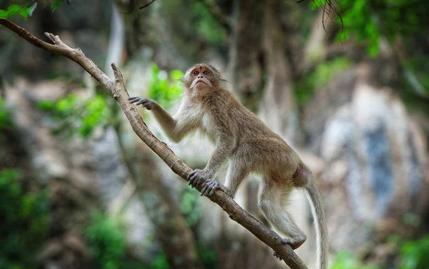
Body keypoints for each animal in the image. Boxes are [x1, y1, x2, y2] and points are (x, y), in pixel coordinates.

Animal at [129, 63, 326, 268]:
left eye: (206, 72)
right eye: (195, 72)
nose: (200, 77)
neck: (204, 98)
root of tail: (298, 161)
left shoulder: (219, 104)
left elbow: (229, 140)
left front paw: (205, 174)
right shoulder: (192, 105)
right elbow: (175, 133)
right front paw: (150, 103)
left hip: (280, 157)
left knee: (246, 149)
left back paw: (227, 191)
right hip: (282, 175)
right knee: (267, 203)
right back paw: (299, 238)